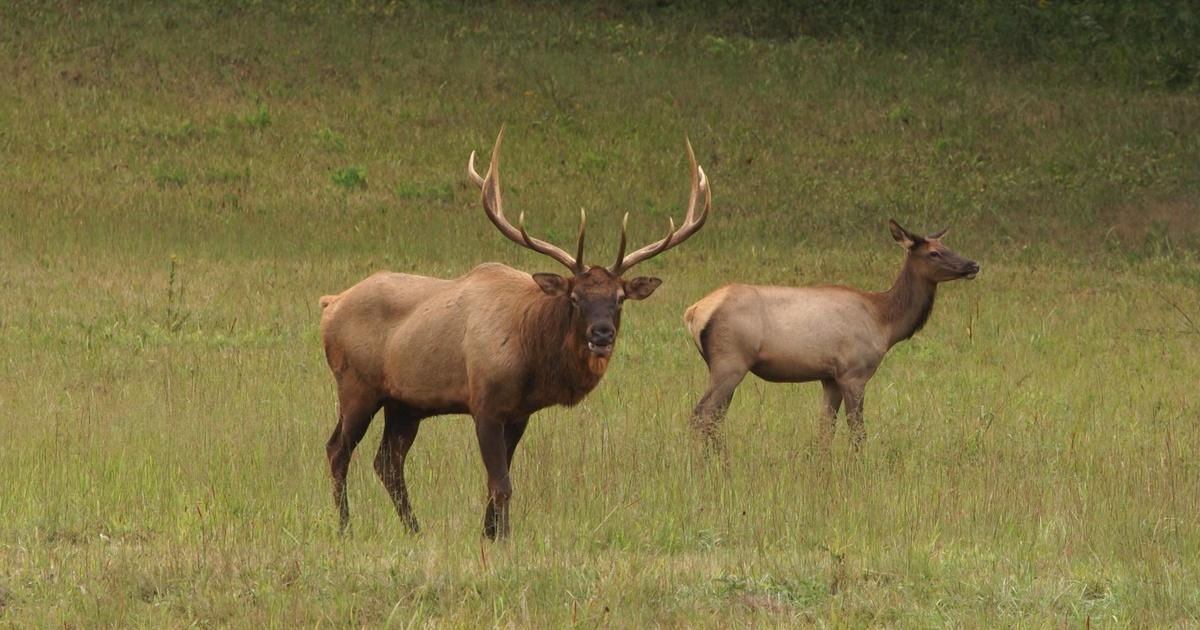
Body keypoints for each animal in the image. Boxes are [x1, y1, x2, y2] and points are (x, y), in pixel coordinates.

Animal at [319, 128, 711, 539]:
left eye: (619, 298)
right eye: (575, 297)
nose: (601, 334)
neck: (531, 359)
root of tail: (330, 304)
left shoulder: (520, 413)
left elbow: (498, 480)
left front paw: (489, 534)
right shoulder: (484, 403)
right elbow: (501, 483)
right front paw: (502, 538)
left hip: (405, 403)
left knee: (388, 463)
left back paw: (415, 529)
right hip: (356, 384)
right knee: (338, 449)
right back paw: (345, 527)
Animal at [684, 220, 978, 460]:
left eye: (946, 245)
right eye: (933, 253)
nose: (973, 264)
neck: (885, 323)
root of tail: (694, 312)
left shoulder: (830, 378)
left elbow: (826, 429)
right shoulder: (853, 372)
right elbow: (858, 431)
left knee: (712, 416)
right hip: (730, 361)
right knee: (702, 415)